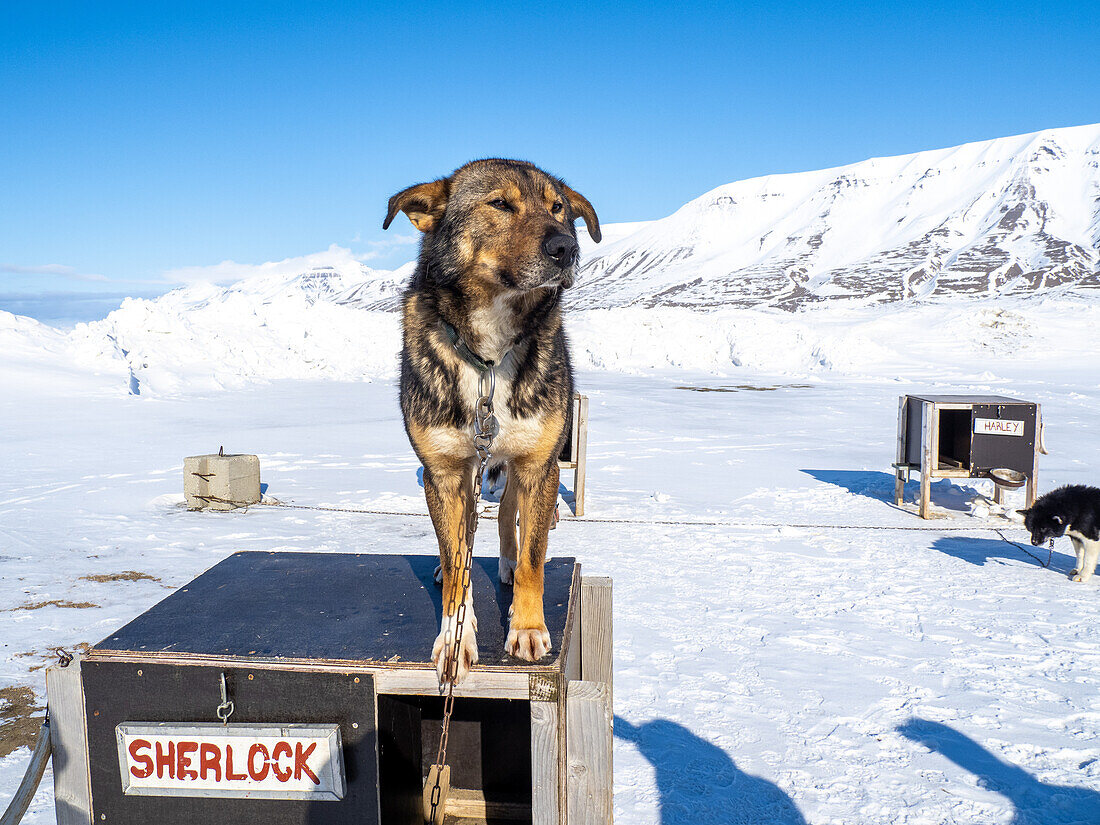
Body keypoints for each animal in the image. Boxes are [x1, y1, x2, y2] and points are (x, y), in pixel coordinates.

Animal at [380, 159, 602, 686]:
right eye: (500, 204)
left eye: (558, 207)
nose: (567, 247)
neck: (488, 357)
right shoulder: (442, 471)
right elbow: (458, 560)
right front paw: (455, 637)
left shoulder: (539, 465)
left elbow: (533, 556)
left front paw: (527, 627)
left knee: (504, 516)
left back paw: (506, 561)